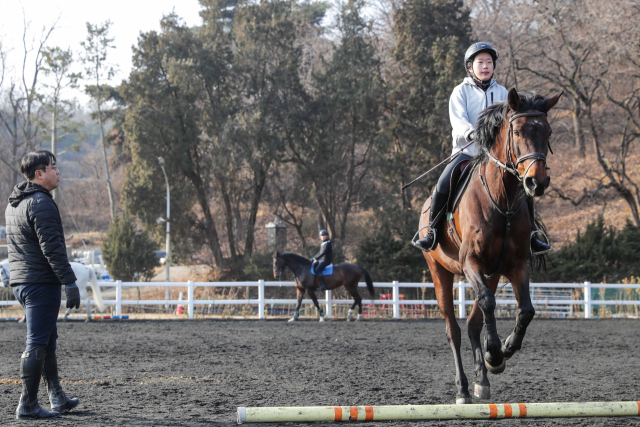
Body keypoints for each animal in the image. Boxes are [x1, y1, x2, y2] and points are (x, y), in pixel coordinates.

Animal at [422, 89, 564, 404]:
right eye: (517, 131)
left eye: (548, 131)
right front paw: (496, 354)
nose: (537, 182)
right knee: (453, 329)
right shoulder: (471, 262)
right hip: (440, 271)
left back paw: (481, 381)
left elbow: (526, 311)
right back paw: (463, 388)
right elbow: (488, 303)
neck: (503, 198)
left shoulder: (516, 264)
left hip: (492, 274)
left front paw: (503, 352)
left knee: (474, 324)